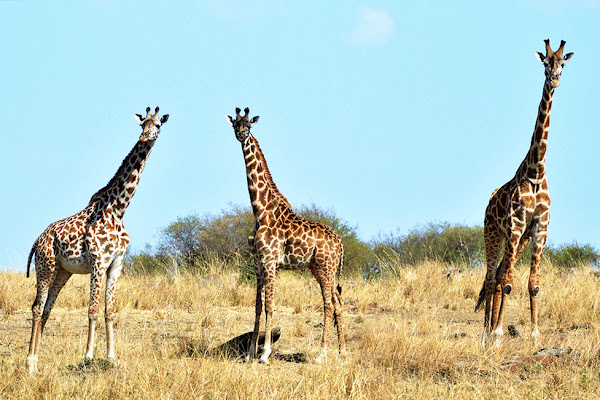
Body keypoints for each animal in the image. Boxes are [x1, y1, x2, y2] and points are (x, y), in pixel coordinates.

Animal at [24, 107, 168, 376]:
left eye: (157, 125)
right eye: (142, 124)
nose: (145, 137)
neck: (118, 209)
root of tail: (37, 241)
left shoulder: (117, 263)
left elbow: (109, 310)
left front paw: (111, 357)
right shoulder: (99, 261)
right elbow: (92, 309)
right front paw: (89, 356)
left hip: (62, 271)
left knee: (47, 309)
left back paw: (36, 361)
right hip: (45, 266)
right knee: (37, 307)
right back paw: (29, 364)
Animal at [226, 108, 346, 364]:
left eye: (248, 126)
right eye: (235, 125)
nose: (241, 135)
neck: (261, 211)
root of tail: (340, 243)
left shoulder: (271, 261)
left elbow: (270, 305)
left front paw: (265, 354)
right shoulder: (258, 263)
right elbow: (257, 306)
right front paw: (250, 354)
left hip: (325, 267)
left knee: (329, 304)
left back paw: (321, 354)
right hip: (319, 268)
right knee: (338, 303)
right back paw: (342, 352)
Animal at [478, 41, 572, 346]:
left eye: (562, 64)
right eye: (545, 63)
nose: (554, 79)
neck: (536, 171)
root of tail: (489, 201)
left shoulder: (539, 229)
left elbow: (533, 285)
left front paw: (535, 336)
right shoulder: (517, 226)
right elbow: (508, 283)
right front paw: (497, 334)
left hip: (517, 241)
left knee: (497, 275)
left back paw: (489, 330)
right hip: (495, 234)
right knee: (491, 277)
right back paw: (486, 333)